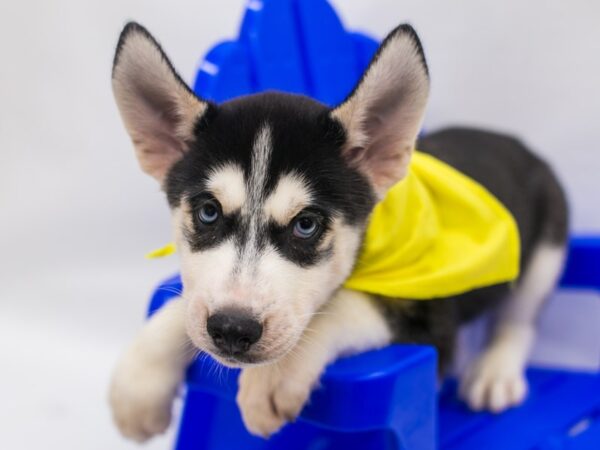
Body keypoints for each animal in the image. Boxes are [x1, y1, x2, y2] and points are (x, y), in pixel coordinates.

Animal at [108, 22, 568, 442]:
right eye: (208, 212)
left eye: (306, 224)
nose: (233, 329)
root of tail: (516, 143)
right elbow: (186, 305)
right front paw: (139, 382)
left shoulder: (434, 327)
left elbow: (344, 303)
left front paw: (275, 376)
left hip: (548, 243)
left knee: (520, 317)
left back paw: (496, 370)